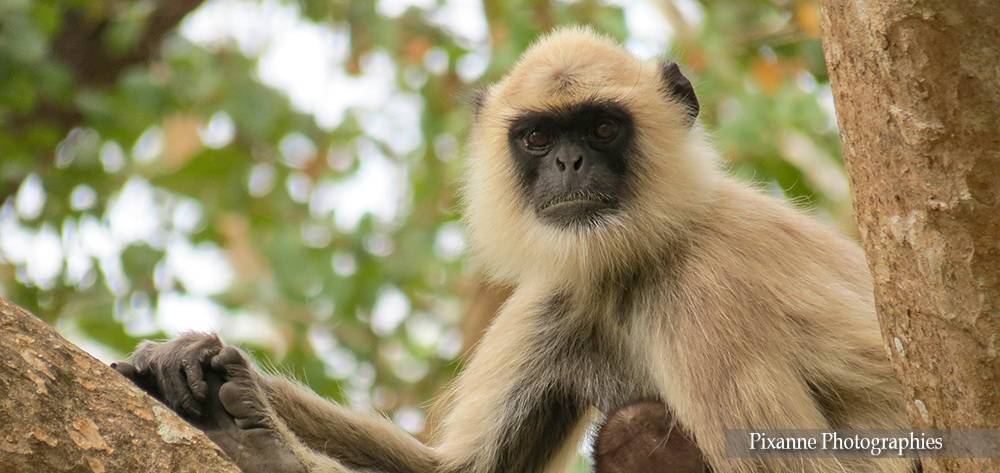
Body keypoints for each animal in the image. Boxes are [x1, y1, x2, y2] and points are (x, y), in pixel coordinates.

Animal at [115, 27, 915, 473]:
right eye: (536, 138)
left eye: (600, 129)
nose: (567, 162)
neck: (641, 261)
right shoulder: (561, 297)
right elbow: (457, 470)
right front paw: (187, 361)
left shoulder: (707, 299)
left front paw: (260, 446)